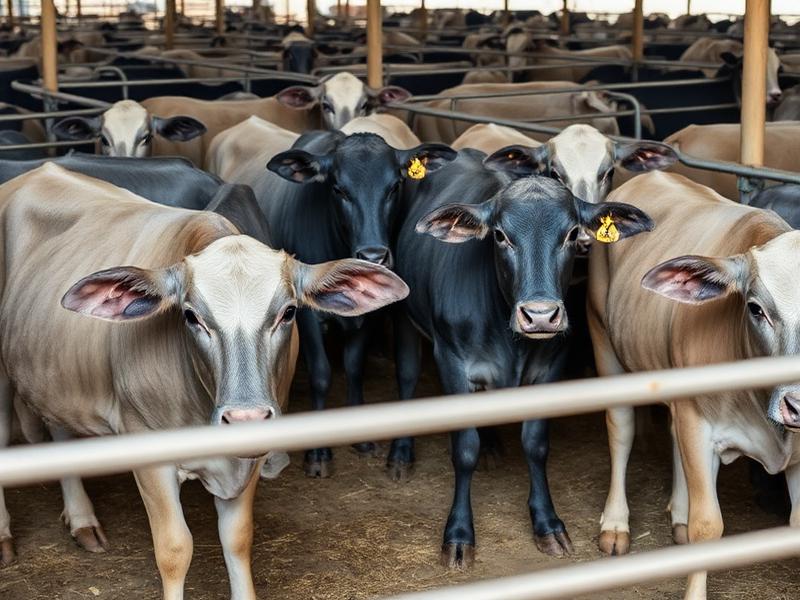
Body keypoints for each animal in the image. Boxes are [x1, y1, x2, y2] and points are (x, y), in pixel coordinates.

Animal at [0, 163, 409, 596]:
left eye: (289, 312)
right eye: (191, 316)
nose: (245, 419)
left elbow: (238, 538)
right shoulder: (148, 452)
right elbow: (174, 550)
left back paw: (82, 519)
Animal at [255, 129, 456, 477]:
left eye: (394, 186)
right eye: (338, 189)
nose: (373, 255)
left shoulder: (369, 312)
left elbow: (353, 366)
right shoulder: (306, 316)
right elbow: (321, 374)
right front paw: (318, 453)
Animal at [393, 149, 653, 567]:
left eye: (571, 233)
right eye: (500, 235)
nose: (541, 315)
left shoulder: (551, 366)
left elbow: (536, 444)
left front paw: (547, 523)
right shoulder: (452, 363)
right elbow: (463, 450)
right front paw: (459, 533)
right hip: (403, 317)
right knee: (406, 375)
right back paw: (400, 454)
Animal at [588, 170, 800, 600]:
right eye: (756, 308)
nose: (798, 404)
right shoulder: (701, 428)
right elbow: (708, 528)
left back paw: (679, 513)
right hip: (603, 336)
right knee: (621, 430)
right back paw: (615, 523)